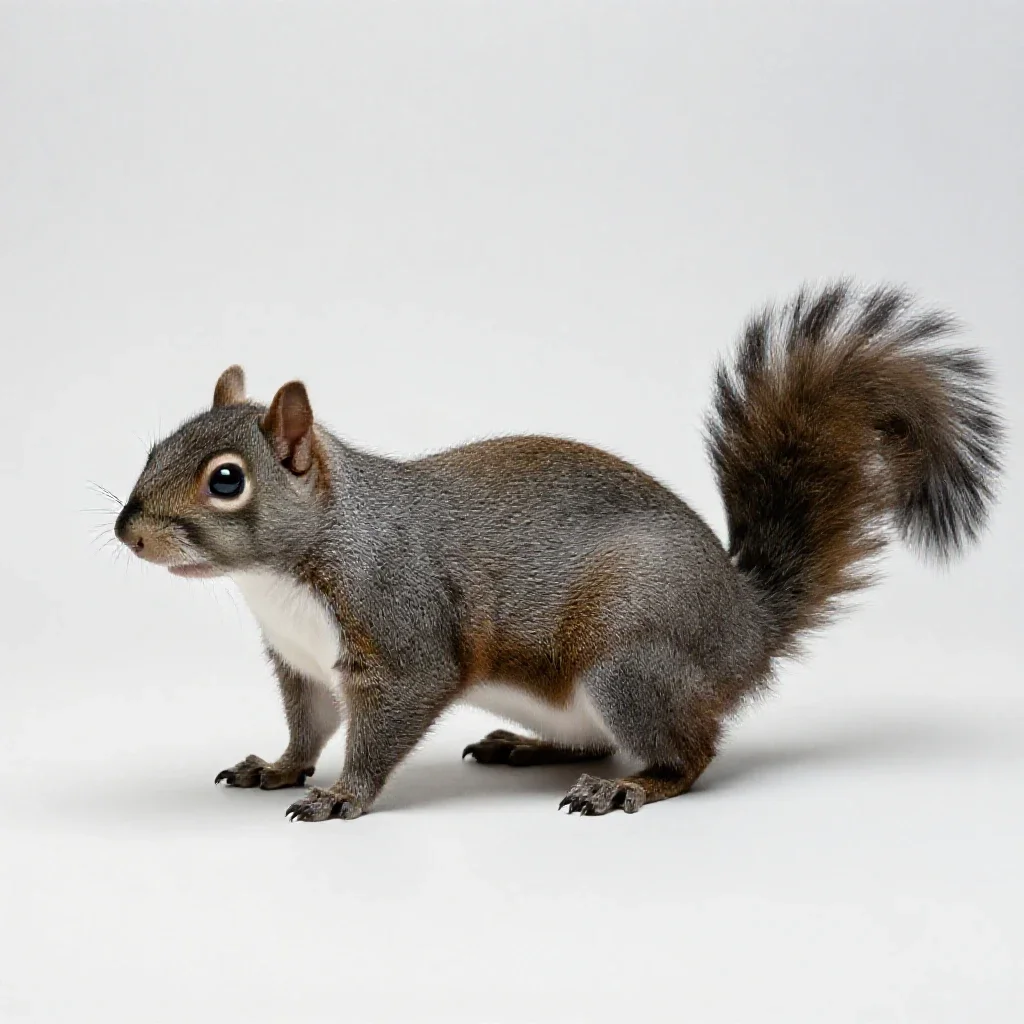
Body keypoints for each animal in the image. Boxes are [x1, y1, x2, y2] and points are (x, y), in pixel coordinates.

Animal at [114, 282, 1003, 821]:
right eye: (155, 446)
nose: (130, 533)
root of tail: (747, 625)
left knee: (692, 751)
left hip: (631, 661)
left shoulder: (400, 634)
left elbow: (384, 722)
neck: (281, 574)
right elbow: (309, 728)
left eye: (227, 480)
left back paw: (627, 786)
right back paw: (527, 747)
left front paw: (343, 796)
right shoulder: (302, 664)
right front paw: (277, 766)